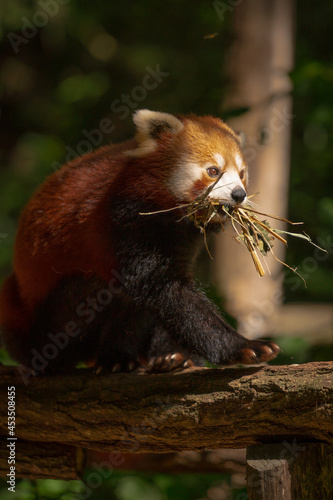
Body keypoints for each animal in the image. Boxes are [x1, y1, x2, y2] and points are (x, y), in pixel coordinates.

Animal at [0, 110, 278, 376]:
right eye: (213, 171)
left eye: (241, 174)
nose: (239, 195)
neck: (169, 217)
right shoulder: (122, 220)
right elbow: (162, 289)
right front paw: (242, 347)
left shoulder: (183, 241)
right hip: (39, 313)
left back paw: (167, 358)